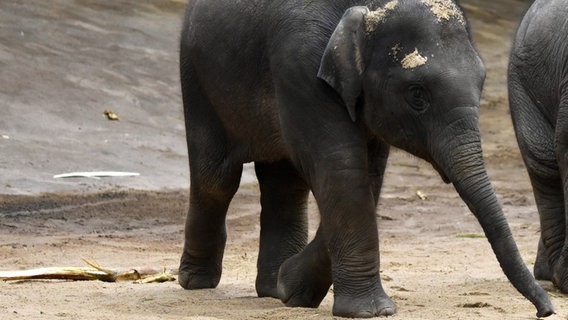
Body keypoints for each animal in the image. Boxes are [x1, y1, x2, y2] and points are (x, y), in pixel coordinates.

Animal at [180, 0, 552, 318]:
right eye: (417, 95)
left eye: (482, 82)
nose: (545, 311)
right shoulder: (300, 62)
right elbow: (342, 166)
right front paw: (371, 312)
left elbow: (369, 174)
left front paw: (293, 289)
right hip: (196, 77)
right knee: (216, 179)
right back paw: (196, 282)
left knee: (284, 184)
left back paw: (272, 289)